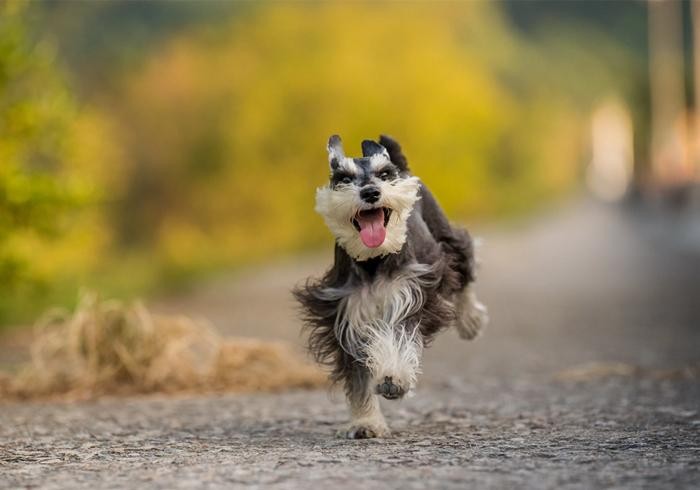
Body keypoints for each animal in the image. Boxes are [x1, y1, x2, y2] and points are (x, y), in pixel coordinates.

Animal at [294, 135, 486, 440]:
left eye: (383, 175)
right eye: (343, 178)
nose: (371, 192)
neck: (374, 260)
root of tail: (403, 168)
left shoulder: (411, 297)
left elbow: (399, 337)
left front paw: (394, 378)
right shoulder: (346, 316)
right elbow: (358, 377)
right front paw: (366, 422)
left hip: (444, 236)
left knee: (464, 263)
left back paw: (470, 322)